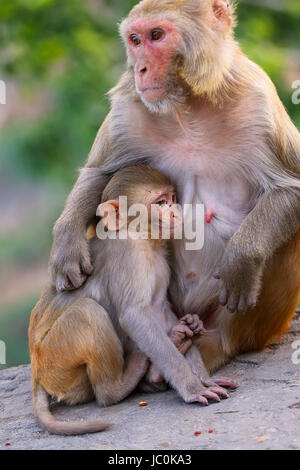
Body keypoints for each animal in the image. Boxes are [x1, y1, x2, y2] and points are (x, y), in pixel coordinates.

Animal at [29, 166, 232, 436]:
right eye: (160, 203)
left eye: (173, 198)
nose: (176, 213)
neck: (141, 237)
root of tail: (36, 372)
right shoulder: (129, 256)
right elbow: (136, 316)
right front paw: (193, 388)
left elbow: (159, 310)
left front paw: (204, 377)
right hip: (55, 357)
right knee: (88, 312)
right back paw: (119, 386)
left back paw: (177, 342)